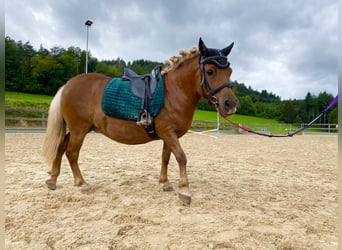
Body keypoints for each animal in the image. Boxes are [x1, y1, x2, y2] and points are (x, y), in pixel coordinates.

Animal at [41, 37, 236, 205]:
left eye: (230, 72)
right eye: (210, 71)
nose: (231, 104)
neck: (174, 91)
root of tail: (68, 85)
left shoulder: (168, 135)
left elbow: (166, 157)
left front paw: (165, 183)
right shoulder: (168, 133)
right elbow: (181, 157)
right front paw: (185, 191)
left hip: (78, 129)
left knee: (61, 147)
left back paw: (52, 179)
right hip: (79, 130)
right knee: (71, 153)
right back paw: (81, 183)